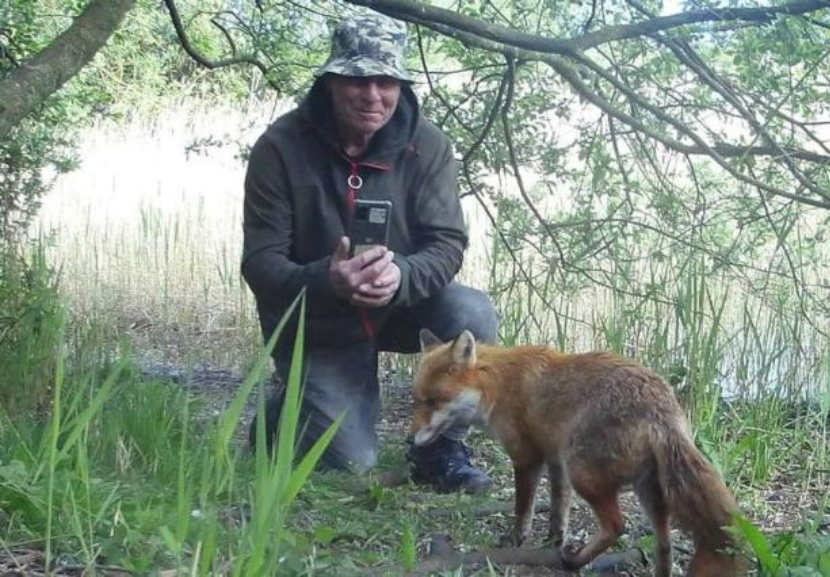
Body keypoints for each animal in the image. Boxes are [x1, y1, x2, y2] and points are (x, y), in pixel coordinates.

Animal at [412, 328, 752, 576]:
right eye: (417, 399)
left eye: (432, 401)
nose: (411, 441)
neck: (496, 384)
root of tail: (662, 411)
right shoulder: (554, 460)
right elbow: (559, 508)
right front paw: (553, 539)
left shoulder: (527, 457)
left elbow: (523, 509)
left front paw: (517, 539)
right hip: (647, 490)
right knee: (664, 544)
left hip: (585, 475)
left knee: (617, 526)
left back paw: (575, 561)